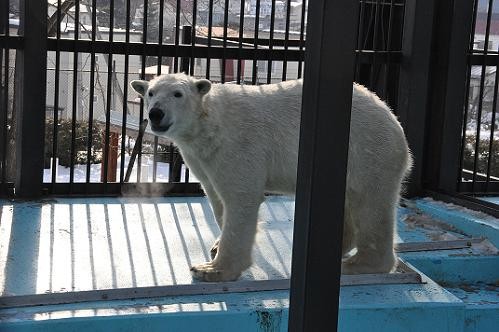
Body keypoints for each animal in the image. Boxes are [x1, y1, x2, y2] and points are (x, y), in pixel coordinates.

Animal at [131, 74, 412, 282]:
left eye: (177, 94)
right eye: (151, 93)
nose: (156, 113)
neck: (210, 124)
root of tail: (392, 118)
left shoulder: (238, 146)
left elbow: (241, 197)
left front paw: (212, 269)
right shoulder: (201, 158)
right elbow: (216, 197)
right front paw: (215, 245)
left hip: (368, 151)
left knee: (371, 204)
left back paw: (358, 264)